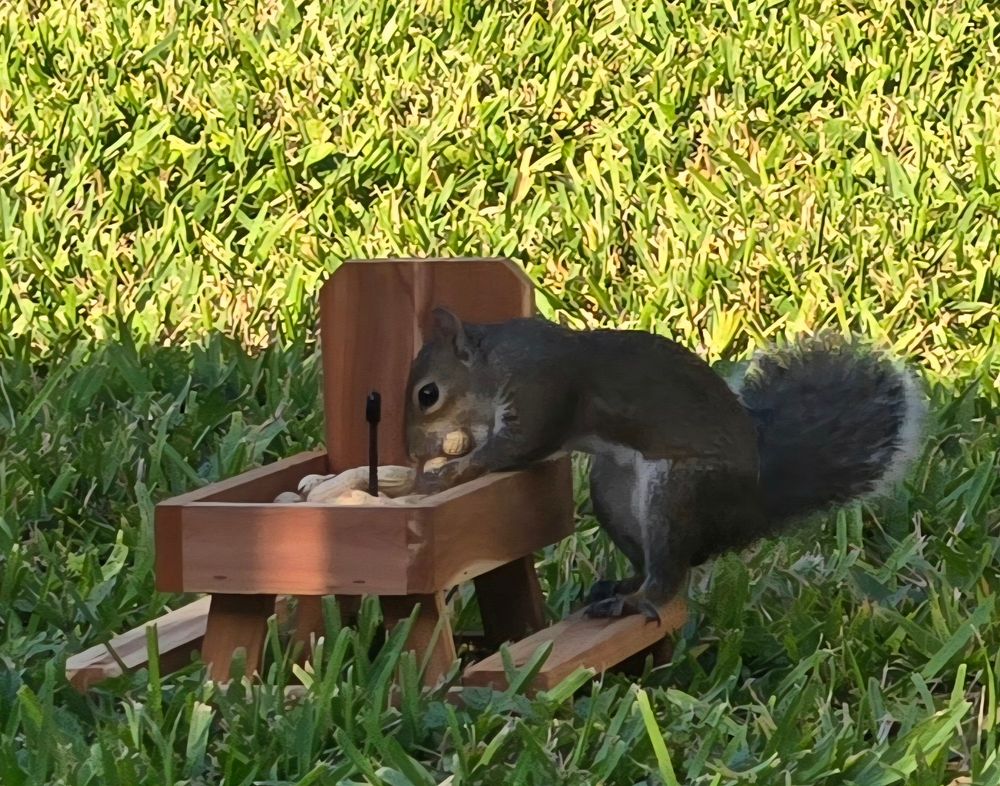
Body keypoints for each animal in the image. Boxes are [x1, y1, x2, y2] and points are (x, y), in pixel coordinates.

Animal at [404, 308, 926, 622]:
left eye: (428, 394)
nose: (411, 453)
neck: (496, 365)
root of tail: (746, 514)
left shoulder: (543, 391)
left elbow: (517, 448)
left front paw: (453, 471)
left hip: (676, 494)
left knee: (670, 575)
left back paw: (636, 601)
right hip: (612, 491)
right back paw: (622, 584)